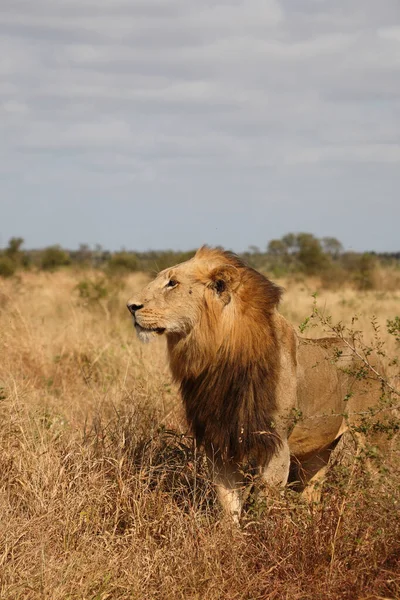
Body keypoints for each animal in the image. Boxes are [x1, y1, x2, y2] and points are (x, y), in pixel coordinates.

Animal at [127, 244, 384, 520]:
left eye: (172, 283)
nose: (131, 306)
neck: (219, 357)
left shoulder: (277, 444)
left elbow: (264, 502)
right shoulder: (220, 443)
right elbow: (228, 502)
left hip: (374, 439)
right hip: (319, 450)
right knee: (313, 488)